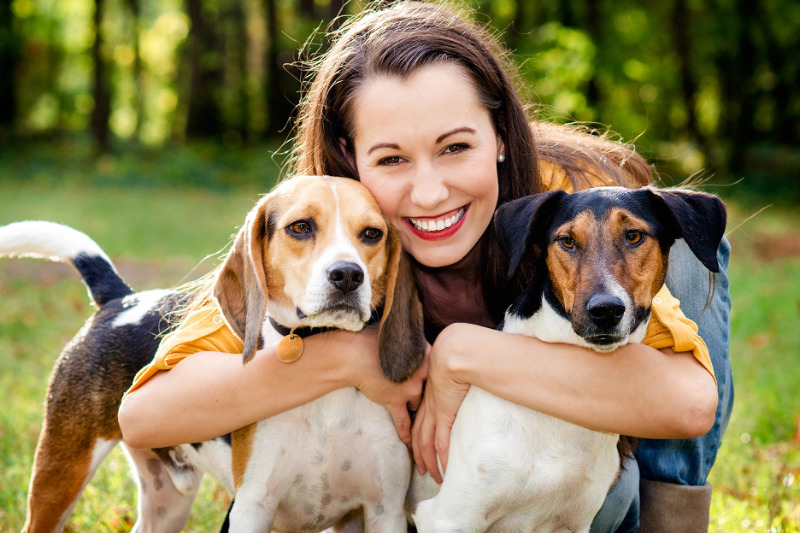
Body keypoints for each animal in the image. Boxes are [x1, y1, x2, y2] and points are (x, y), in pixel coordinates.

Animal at [0, 178, 424, 532]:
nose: (348, 275)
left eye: (372, 234)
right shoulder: (252, 507)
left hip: (166, 504)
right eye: (300, 227)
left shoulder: (384, 510)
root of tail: (122, 299)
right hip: (60, 473)